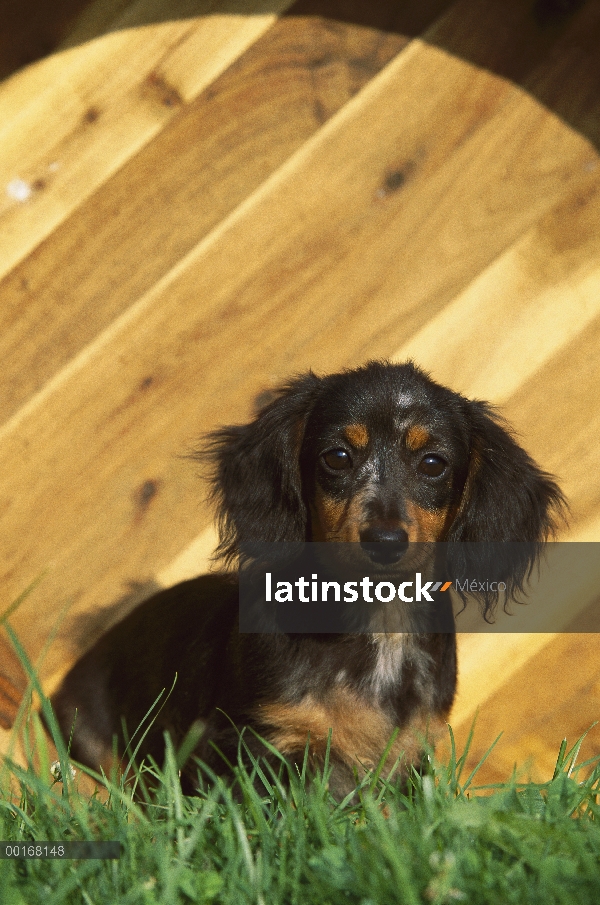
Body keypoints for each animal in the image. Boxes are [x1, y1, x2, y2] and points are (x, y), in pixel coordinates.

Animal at [50, 362, 564, 800]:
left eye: (433, 464)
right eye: (337, 457)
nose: (384, 541)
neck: (374, 624)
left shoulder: (411, 752)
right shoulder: (258, 741)